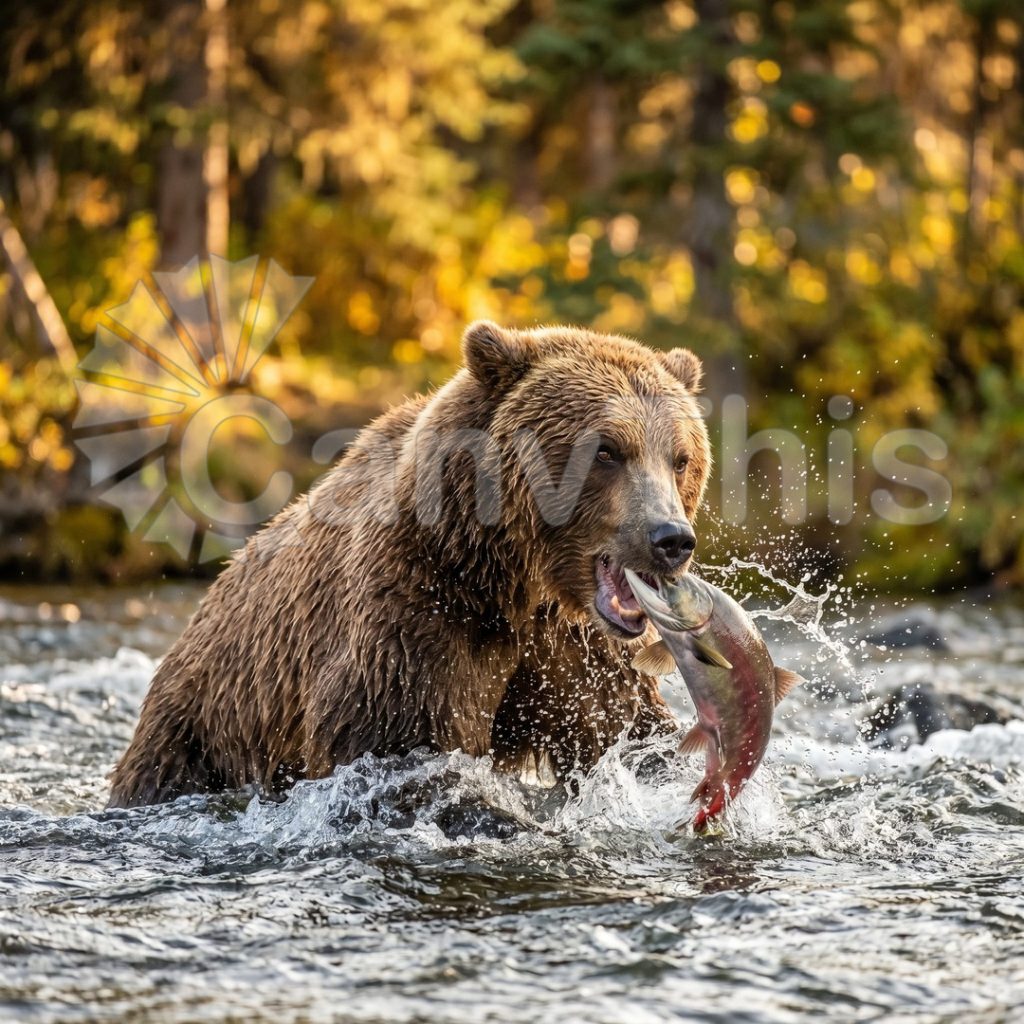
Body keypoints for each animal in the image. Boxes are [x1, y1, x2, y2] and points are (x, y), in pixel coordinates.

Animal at [107, 321, 711, 807]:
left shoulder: (577, 653)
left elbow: (628, 733)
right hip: (203, 731)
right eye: (607, 450)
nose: (671, 538)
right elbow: (404, 753)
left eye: (680, 458)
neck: (509, 582)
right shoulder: (414, 621)